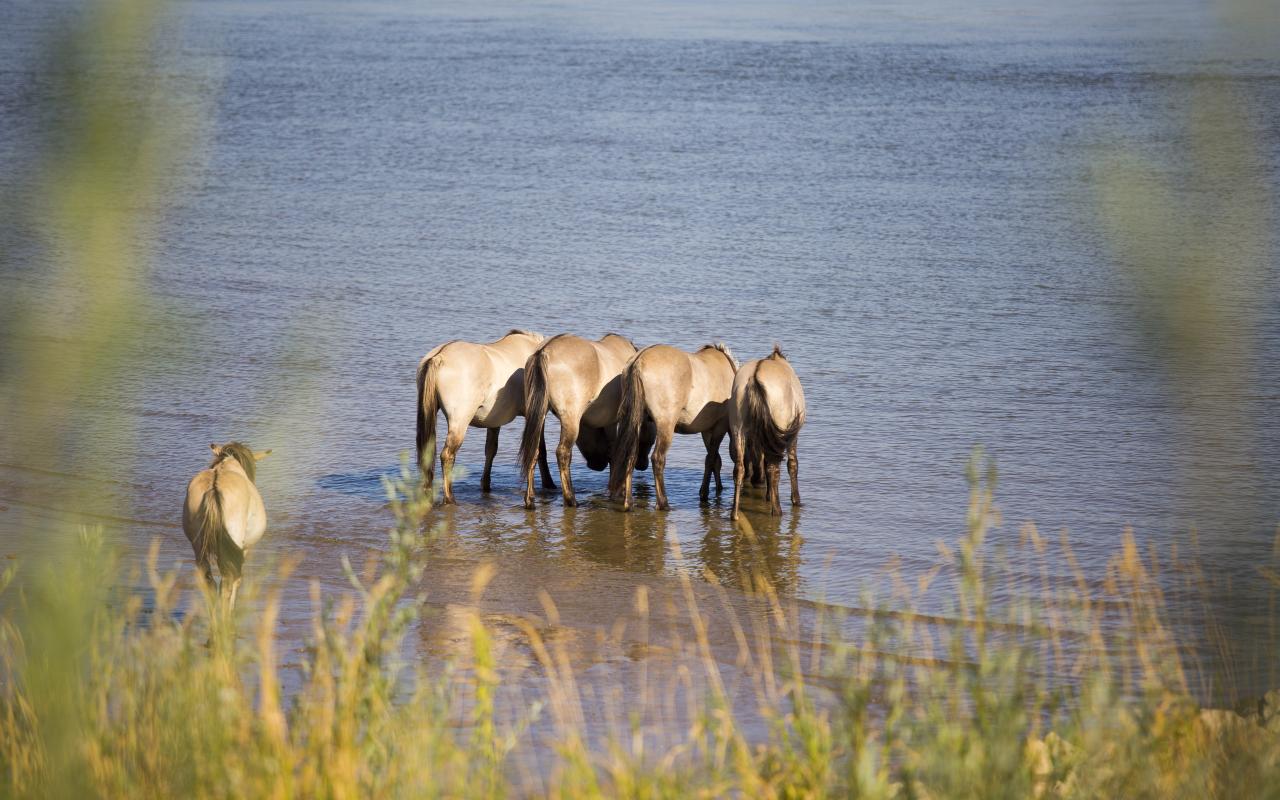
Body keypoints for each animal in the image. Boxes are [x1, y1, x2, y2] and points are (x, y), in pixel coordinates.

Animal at [182, 442, 272, 613]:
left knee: (209, 581)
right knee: (227, 581)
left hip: (198, 546)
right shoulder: (243, 548)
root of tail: (214, 487)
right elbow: (237, 579)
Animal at [416, 329, 556, 504]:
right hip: (459, 423)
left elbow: (491, 450)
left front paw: (486, 485)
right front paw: (548, 484)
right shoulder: (537, 415)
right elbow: (539, 450)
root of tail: (438, 357)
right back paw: (449, 498)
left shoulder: (495, 421)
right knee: (447, 455)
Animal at [518, 333, 654, 508]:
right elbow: (616, 452)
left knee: (534, 450)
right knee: (562, 453)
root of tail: (543, 352)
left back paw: (530, 499)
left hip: (539, 413)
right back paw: (571, 499)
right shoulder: (615, 421)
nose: (642, 465)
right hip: (570, 417)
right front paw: (617, 490)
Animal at [609, 343, 739, 511]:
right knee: (658, 458)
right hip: (666, 425)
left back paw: (628, 502)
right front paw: (704, 493)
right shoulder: (719, 426)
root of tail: (637, 363)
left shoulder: (707, 430)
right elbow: (711, 459)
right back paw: (663, 503)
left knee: (630, 455)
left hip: (636, 422)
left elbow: (714, 459)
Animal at [729, 345, 805, 520]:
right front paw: (796, 500)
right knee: (773, 468)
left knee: (739, 468)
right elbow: (793, 465)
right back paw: (777, 510)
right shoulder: (791, 436)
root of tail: (754, 377)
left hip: (739, 429)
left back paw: (734, 513)